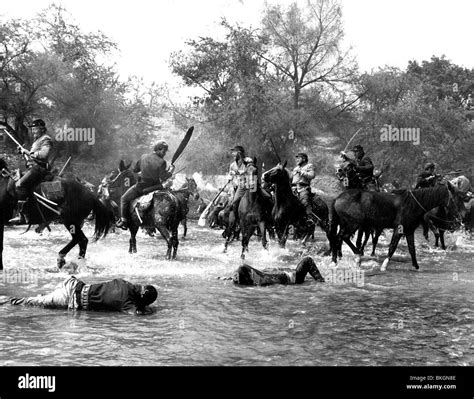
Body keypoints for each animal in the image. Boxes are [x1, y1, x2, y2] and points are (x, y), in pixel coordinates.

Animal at [330, 184, 466, 272]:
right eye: (457, 198)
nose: (462, 216)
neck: (412, 204)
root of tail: (337, 198)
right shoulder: (399, 229)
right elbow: (392, 247)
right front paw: (384, 266)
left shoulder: (409, 230)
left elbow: (412, 249)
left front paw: (416, 267)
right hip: (353, 224)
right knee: (345, 238)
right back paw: (357, 257)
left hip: (346, 224)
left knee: (338, 238)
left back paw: (335, 261)